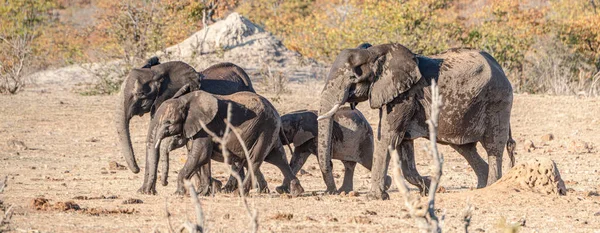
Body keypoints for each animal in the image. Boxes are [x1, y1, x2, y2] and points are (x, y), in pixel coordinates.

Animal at [146, 90, 304, 196]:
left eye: (168, 123)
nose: (160, 186)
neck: (185, 100)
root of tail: (276, 111)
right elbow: (202, 157)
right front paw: (203, 193)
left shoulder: (206, 126)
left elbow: (201, 154)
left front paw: (179, 193)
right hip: (270, 128)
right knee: (277, 157)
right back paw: (296, 192)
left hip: (265, 128)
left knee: (254, 159)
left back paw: (239, 193)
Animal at [318, 42, 516, 199]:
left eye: (353, 78)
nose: (333, 191)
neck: (375, 52)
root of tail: (500, 68)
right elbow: (403, 143)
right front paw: (427, 187)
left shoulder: (405, 96)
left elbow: (388, 137)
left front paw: (374, 197)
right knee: (465, 148)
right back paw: (481, 186)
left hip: (497, 101)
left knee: (493, 146)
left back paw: (490, 186)